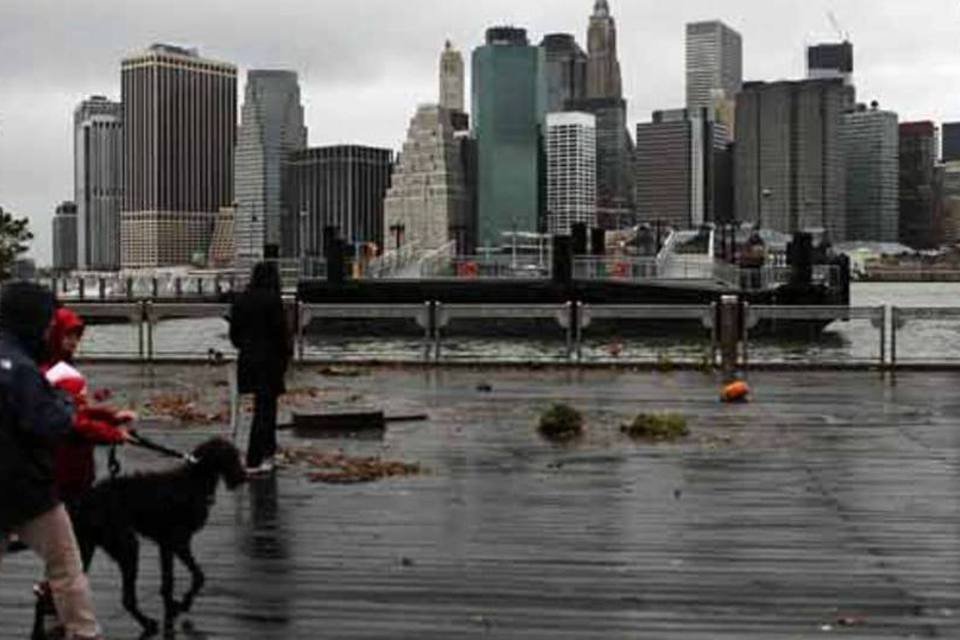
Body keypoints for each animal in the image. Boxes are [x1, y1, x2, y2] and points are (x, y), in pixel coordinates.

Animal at [35, 436, 248, 636]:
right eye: (232, 455)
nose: (243, 476)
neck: (194, 479)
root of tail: (80, 504)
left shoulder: (166, 544)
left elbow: (170, 582)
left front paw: (174, 607)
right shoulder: (178, 542)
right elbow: (197, 576)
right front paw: (180, 608)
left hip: (81, 548)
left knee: (50, 592)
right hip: (126, 546)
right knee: (127, 599)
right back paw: (146, 623)